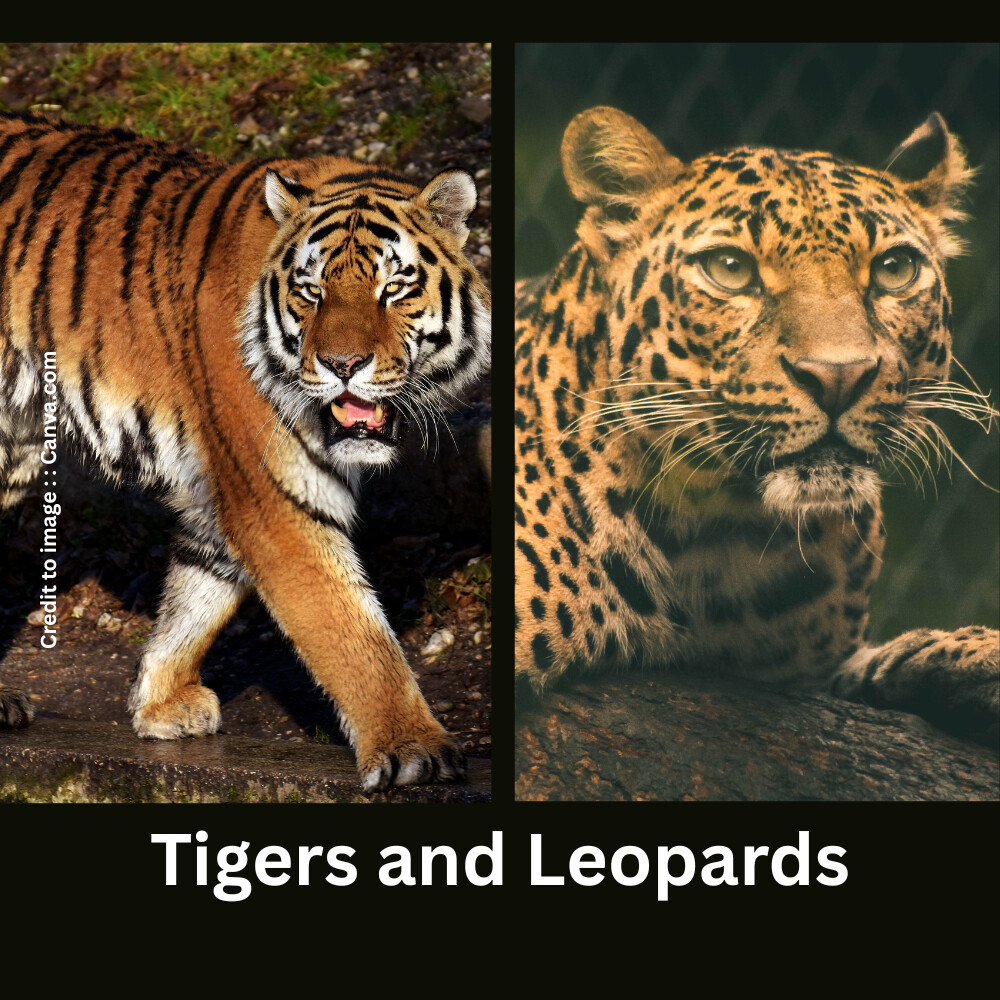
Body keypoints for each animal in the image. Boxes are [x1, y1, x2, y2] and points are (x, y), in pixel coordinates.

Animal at [0, 110, 491, 792]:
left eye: (394, 287)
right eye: (311, 292)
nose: (342, 365)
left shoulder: (222, 490)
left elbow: (199, 593)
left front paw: (161, 703)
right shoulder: (271, 492)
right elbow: (350, 629)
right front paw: (412, 749)